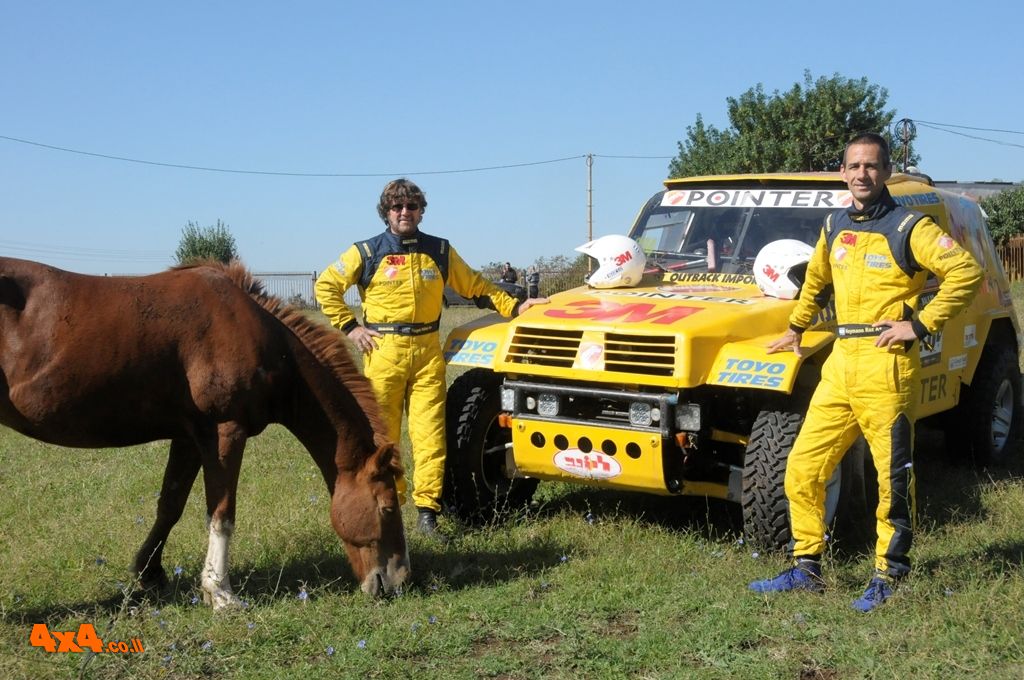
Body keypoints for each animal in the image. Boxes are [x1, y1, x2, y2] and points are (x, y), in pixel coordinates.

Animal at [0, 258, 407, 606]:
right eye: (388, 507)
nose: (400, 580)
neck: (256, 332)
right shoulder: (225, 432)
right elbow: (222, 514)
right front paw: (220, 592)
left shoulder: (189, 438)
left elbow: (170, 506)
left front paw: (150, 573)